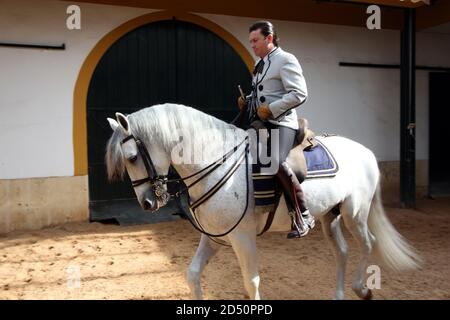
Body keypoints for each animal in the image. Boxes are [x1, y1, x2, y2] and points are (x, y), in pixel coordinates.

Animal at [105, 103, 422, 300]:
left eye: (131, 157)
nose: (147, 203)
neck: (217, 161)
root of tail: (365, 151)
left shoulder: (243, 237)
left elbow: (251, 282)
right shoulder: (215, 237)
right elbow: (193, 274)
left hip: (354, 213)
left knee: (368, 243)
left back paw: (362, 289)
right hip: (329, 216)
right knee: (342, 252)